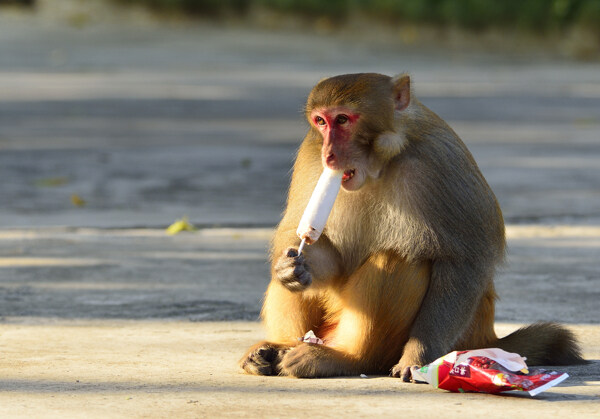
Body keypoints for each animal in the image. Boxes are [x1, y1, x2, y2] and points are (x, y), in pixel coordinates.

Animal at [240, 73, 584, 384]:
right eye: (321, 122)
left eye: (343, 119)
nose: (330, 153)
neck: (381, 164)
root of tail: (486, 338)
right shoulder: (310, 155)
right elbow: (308, 242)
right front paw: (293, 268)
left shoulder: (440, 161)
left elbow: (465, 260)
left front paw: (418, 355)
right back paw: (278, 347)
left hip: (453, 337)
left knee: (396, 259)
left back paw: (346, 358)